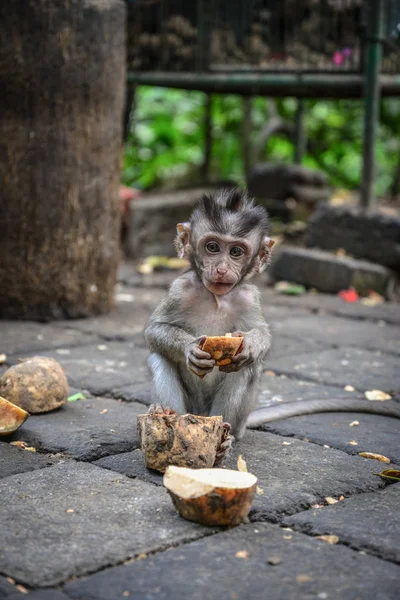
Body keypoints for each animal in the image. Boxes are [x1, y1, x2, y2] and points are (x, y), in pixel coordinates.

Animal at [145, 188, 400, 460]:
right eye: (212, 247)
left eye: (236, 252)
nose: (222, 269)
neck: (216, 297)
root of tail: (203, 415)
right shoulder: (179, 290)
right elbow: (154, 330)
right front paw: (190, 349)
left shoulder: (250, 297)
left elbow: (262, 334)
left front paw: (252, 344)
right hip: (191, 406)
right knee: (159, 357)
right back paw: (167, 414)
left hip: (235, 419)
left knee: (246, 369)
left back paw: (224, 440)